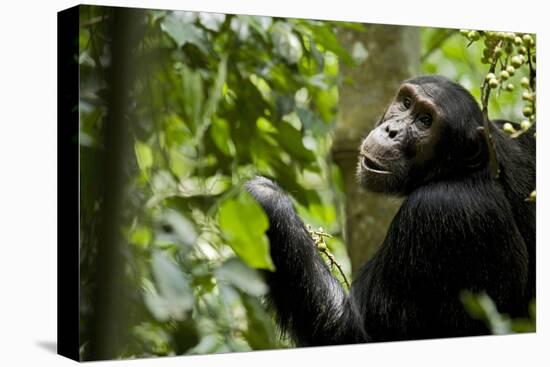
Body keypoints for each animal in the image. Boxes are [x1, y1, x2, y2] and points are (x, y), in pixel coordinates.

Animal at [248, 75, 536, 348]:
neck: (462, 171)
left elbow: (357, 333)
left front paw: (266, 197)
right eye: (406, 103)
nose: (392, 130)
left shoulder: (439, 210)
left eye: (425, 121)